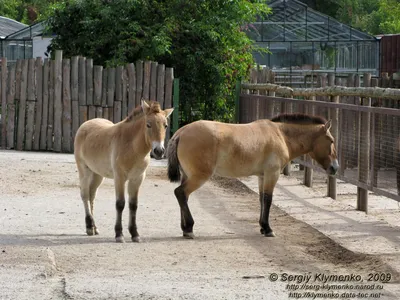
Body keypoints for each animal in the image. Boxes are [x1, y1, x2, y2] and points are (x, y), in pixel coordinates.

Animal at [74, 102, 173, 243]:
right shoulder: (119, 178)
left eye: (165, 125)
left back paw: (94, 228)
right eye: (148, 124)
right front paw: (119, 234)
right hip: (84, 171)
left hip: (98, 175)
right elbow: (120, 204)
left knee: (92, 196)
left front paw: (135, 234)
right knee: (85, 195)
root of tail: (85, 125)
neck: (131, 147)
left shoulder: (137, 179)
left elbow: (133, 205)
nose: (159, 151)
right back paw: (88, 227)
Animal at [167, 113, 340, 239]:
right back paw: (189, 228)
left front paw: (263, 227)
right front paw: (268, 229)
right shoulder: (272, 174)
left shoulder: (262, 176)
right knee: (180, 193)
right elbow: (268, 200)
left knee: (184, 196)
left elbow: (262, 199)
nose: (335, 167)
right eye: (331, 140)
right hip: (199, 177)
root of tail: (181, 132)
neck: (281, 135)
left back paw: (185, 228)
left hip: (188, 175)